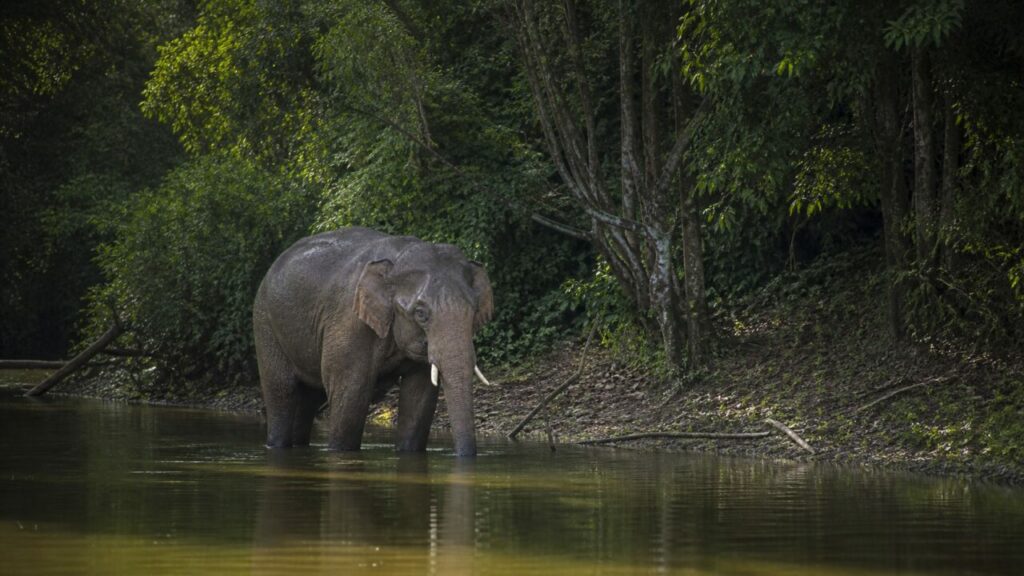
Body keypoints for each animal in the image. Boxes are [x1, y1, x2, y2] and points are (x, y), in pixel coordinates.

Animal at [252, 227, 493, 456]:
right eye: (421, 313)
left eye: (474, 311)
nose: (464, 456)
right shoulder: (349, 322)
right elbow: (351, 393)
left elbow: (419, 398)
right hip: (265, 325)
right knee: (282, 392)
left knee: (307, 399)